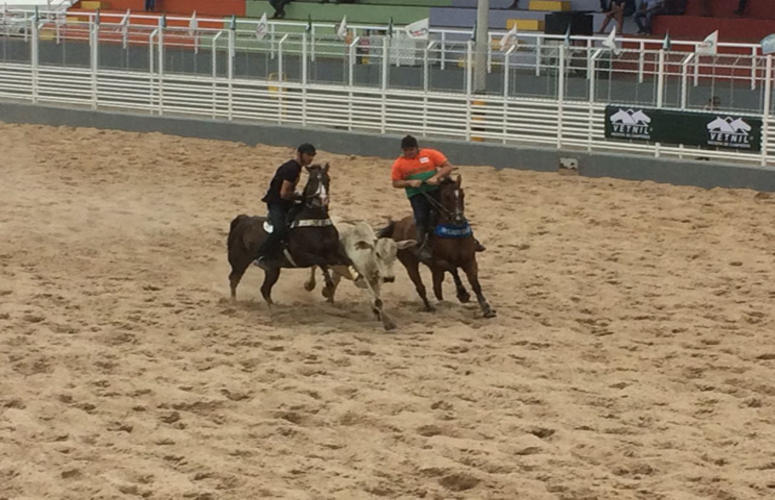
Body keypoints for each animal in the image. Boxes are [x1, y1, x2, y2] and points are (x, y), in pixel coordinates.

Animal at [227, 164, 348, 304]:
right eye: (312, 180)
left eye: (327, 179)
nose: (322, 199)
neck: (315, 222)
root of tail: (243, 219)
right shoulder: (302, 256)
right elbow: (322, 262)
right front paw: (321, 287)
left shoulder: (335, 252)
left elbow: (345, 262)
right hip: (239, 260)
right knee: (234, 279)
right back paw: (233, 302)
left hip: (273, 269)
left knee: (264, 289)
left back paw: (272, 306)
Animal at [380, 176, 498, 316]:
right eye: (447, 196)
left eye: (462, 194)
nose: (458, 219)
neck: (455, 236)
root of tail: (397, 224)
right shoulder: (439, 262)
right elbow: (453, 270)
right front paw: (463, 294)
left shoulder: (470, 260)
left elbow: (475, 284)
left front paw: (486, 308)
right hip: (410, 264)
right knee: (420, 286)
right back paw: (429, 306)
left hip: (433, 269)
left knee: (436, 288)